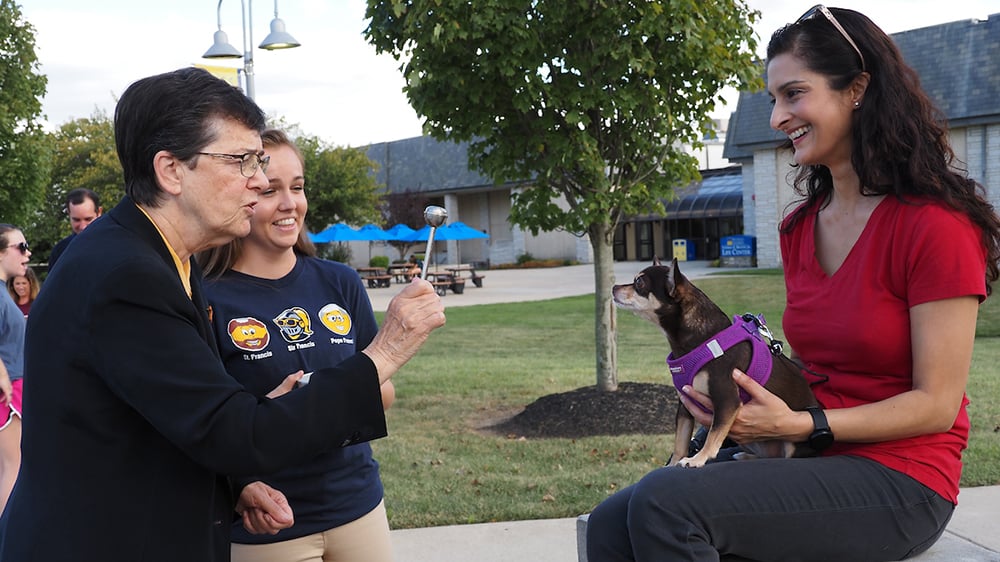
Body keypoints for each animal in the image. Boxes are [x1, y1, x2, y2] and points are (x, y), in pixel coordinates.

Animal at [608, 258, 820, 464]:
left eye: (639, 283)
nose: (613, 287)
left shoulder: (727, 401)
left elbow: (714, 433)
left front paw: (698, 459)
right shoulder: (685, 406)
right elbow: (681, 439)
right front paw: (674, 462)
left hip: (792, 445)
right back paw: (744, 456)